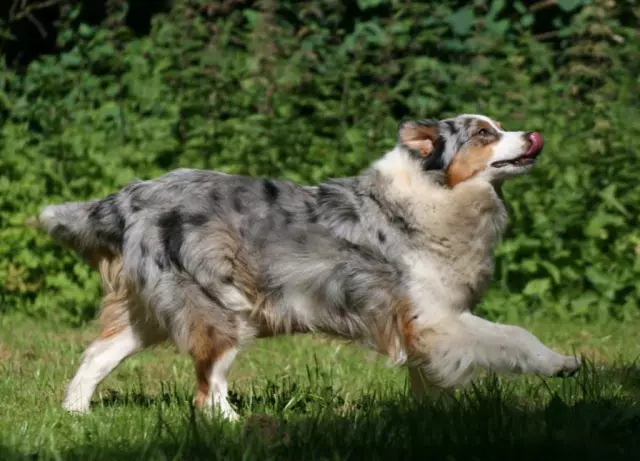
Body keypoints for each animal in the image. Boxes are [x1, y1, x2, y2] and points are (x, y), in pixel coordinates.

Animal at [37, 113, 584, 418]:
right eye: (485, 133)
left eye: (500, 127)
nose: (534, 134)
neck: (437, 195)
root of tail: (132, 194)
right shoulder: (434, 318)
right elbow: (511, 337)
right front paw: (558, 363)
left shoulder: (425, 326)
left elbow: (437, 376)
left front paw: (438, 419)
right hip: (222, 309)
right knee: (207, 389)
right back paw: (235, 426)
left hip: (151, 310)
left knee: (96, 355)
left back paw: (76, 415)